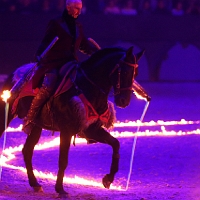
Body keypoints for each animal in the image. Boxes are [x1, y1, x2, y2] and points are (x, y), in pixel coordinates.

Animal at [0, 46, 144, 197]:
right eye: (124, 71)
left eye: (135, 73)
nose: (124, 101)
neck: (86, 87)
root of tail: (15, 73)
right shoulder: (66, 131)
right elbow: (63, 160)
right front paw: (60, 189)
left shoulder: (92, 129)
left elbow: (115, 144)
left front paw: (108, 179)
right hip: (6, 114)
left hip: (35, 126)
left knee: (27, 150)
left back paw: (35, 184)